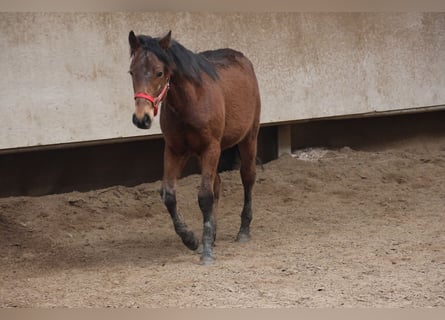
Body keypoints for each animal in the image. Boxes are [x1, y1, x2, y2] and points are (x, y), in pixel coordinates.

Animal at [127, 30, 260, 264]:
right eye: (131, 72)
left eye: (159, 72)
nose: (141, 119)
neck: (190, 101)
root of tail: (243, 59)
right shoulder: (174, 150)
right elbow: (169, 195)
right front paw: (191, 239)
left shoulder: (210, 148)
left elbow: (205, 196)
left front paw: (206, 251)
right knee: (218, 184)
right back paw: (213, 234)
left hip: (248, 139)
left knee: (247, 178)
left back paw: (243, 230)